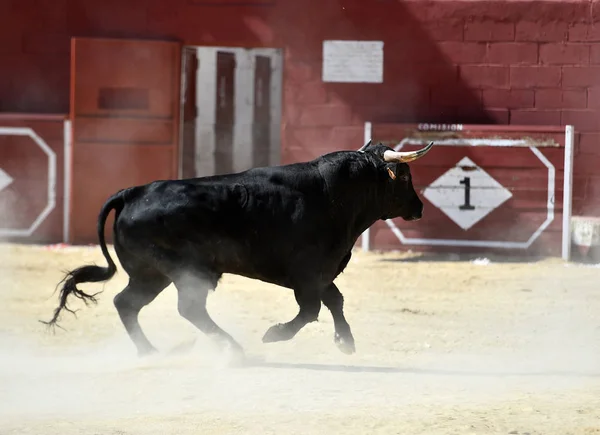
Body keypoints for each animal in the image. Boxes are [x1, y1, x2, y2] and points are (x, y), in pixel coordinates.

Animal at [43, 141, 436, 360]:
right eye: (404, 176)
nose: (419, 208)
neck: (334, 195)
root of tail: (133, 192)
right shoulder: (307, 274)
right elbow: (310, 310)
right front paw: (275, 334)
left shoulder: (321, 273)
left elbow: (334, 301)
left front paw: (345, 341)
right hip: (186, 273)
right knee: (188, 308)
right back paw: (232, 348)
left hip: (150, 274)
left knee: (127, 303)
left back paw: (149, 351)